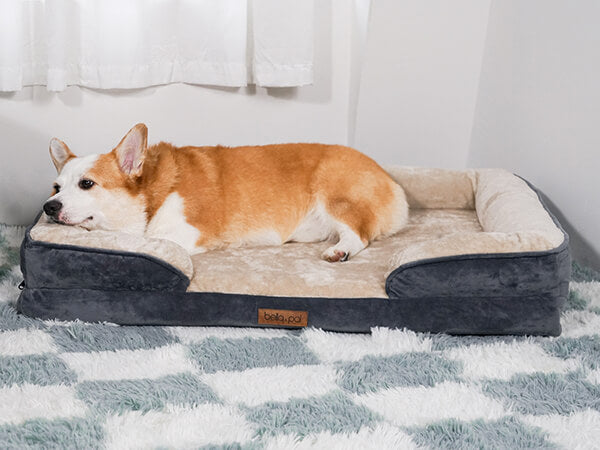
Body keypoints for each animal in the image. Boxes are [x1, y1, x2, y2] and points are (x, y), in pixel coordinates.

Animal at [43, 124, 408, 262]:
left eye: (87, 184)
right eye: (56, 187)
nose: (49, 207)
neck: (151, 194)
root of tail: (390, 181)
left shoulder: (185, 232)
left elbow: (147, 238)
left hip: (334, 194)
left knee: (359, 234)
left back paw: (340, 250)